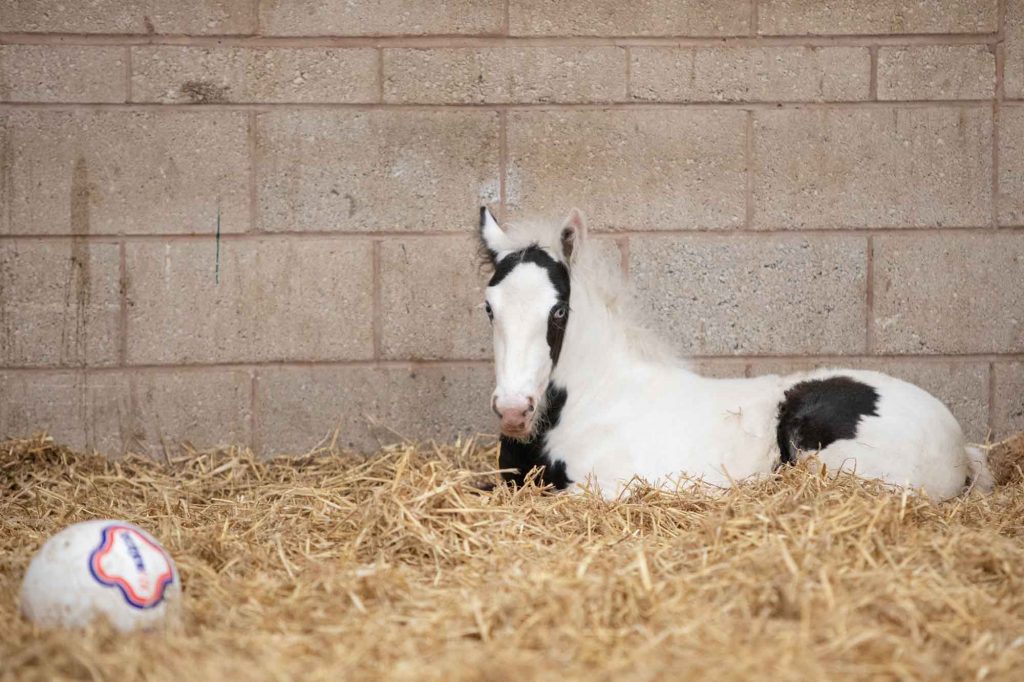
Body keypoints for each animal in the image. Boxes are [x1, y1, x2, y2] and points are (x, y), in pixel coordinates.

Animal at [477, 206, 991, 499]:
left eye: (559, 311)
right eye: (489, 307)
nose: (513, 410)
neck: (593, 402)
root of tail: (958, 445)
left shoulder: (604, 489)